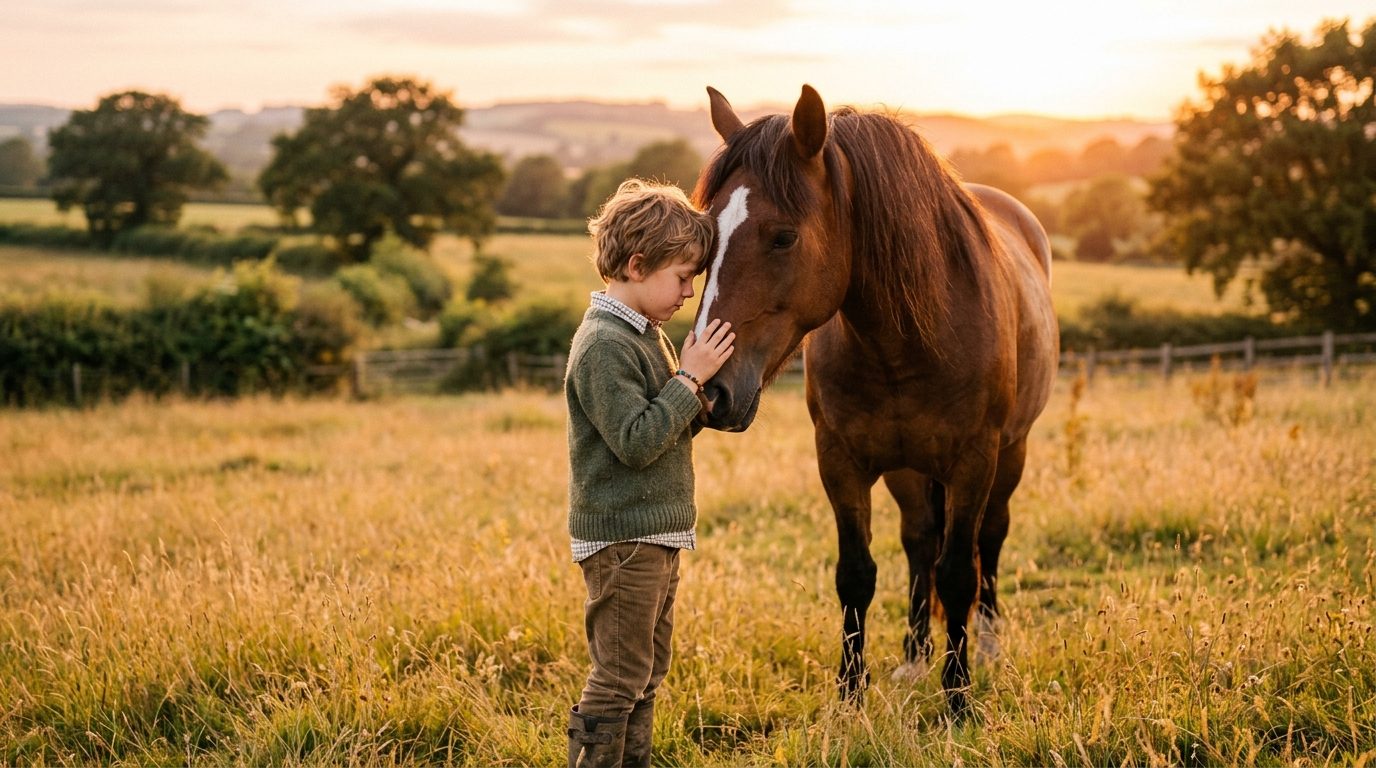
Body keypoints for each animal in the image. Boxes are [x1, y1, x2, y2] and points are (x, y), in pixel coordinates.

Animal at [691, 85, 1059, 717]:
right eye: (707, 234)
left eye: (783, 235)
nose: (712, 390)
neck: (908, 341)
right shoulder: (840, 461)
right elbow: (857, 573)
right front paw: (849, 694)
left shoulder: (974, 461)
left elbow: (958, 573)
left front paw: (958, 699)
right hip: (907, 470)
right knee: (919, 542)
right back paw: (914, 658)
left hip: (1011, 453)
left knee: (989, 540)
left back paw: (987, 646)